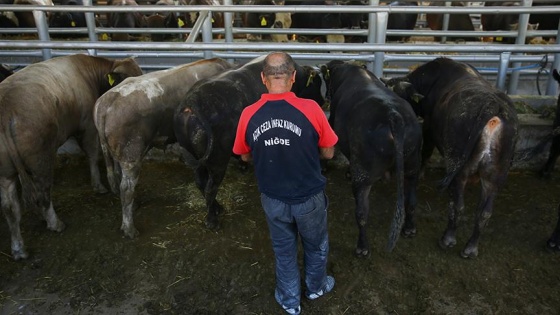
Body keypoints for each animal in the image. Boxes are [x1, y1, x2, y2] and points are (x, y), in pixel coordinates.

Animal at [0, 55, 143, 262]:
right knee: (43, 193)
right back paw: (55, 223)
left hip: (6, 173)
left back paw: (19, 249)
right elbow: (92, 155)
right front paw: (98, 185)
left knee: (10, 208)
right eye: (128, 78)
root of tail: (6, 106)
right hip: (40, 160)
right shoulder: (88, 126)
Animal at [93, 57, 233, 239]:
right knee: (126, 188)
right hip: (132, 155)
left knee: (117, 176)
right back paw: (129, 229)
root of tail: (106, 102)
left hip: (117, 152)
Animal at [174, 55, 324, 231]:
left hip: (195, 157)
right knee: (210, 187)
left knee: (201, 182)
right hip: (217, 159)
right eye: (316, 84)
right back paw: (212, 219)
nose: (323, 101)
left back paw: (217, 207)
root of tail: (191, 102)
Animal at [320, 60, 420, 258]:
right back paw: (409, 228)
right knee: (411, 200)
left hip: (363, 175)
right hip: (413, 166)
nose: (326, 95)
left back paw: (362, 247)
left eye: (326, 79)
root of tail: (393, 115)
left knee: (362, 213)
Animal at [382, 57, 520, 260]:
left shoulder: (429, 128)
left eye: (402, 97)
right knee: (484, 213)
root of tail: (493, 107)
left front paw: (421, 173)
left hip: (460, 170)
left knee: (458, 206)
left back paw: (447, 239)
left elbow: (426, 152)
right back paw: (471, 248)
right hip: (495, 176)